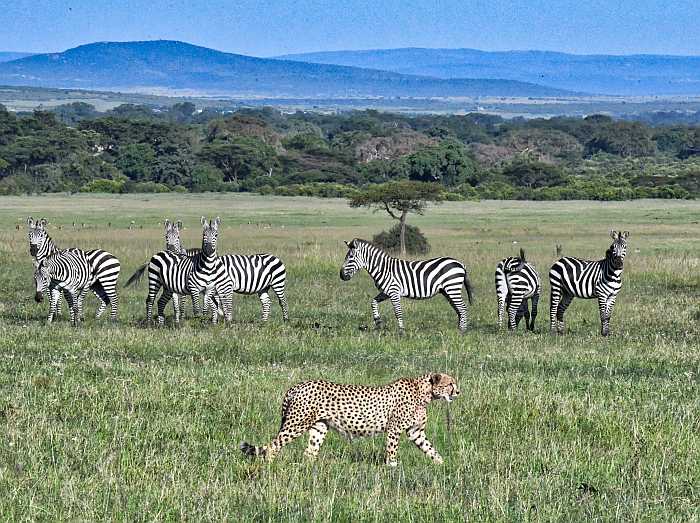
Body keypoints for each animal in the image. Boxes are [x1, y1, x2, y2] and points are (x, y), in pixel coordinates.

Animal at [241, 372, 460, 466]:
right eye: (450, 384)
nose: (458, 391)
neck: (425, 393)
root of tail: (298, 385)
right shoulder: (394, 429)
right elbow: (392, 451)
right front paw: (392, 468)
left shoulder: (416, 432)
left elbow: (430, 448)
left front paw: (442, 464)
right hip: (296, 424)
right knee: (273, 446)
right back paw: (269, 467)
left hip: (319, 428)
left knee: (309, 453)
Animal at [340, 239, 476, 334]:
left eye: (350, 257)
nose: (341, 275)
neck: (383, 269)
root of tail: (460, 264)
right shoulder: (386, 292)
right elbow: (373, 302)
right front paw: (378, 322)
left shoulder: (394, 292)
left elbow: (398, 312)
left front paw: (401, 331)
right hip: (447, 291)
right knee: (458, 310)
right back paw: (459, 329)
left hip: (452, 288)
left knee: (463, 308)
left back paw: (462, 331)